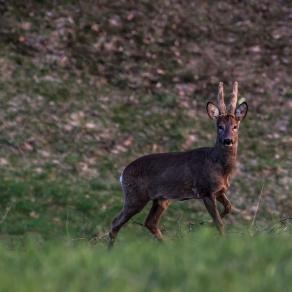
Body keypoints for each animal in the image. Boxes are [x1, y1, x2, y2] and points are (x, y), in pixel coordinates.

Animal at [108, 81, 248, 245]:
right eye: (219, 126)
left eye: (235, 126)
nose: (228, 140)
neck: (220, 167)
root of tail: (122, 174)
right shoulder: (205, 190)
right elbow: (219, 222)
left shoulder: (220, 190)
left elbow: (229, 207)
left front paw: (203, 224)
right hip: (135, 196)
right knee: (116, 222)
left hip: (161, 199)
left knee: (150, 222)